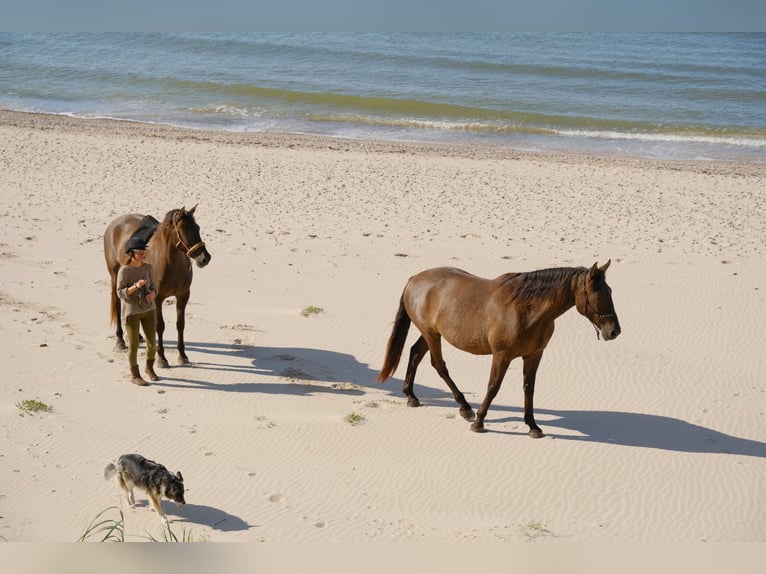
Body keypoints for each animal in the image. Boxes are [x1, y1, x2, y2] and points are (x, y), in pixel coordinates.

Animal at [103, 207, 213, 368]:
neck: (171, 264)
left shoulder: (183, 296)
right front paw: (162, 359)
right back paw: (120, 341)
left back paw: (138, 336)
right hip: (115, 275)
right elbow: (160, 326)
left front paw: (182, 356)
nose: (205, 258)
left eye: (197, 228)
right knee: (117, 303)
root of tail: (114, 223)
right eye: (184, 230)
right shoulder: (157, 298)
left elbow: (180, 324)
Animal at [378, 264, 624, 438]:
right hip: (432, 335)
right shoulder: (502, 355)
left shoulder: (534, 355)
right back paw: (465, 407)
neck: (527, 308)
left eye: (611, 291)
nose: (614, 331)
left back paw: (411, 395)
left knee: (415, 354)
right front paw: (479, 422)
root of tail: (414, 279)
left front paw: (533, 426)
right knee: (438, 365)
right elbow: (494, 386)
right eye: (599, 294)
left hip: (432, 333)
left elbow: (529, 389)